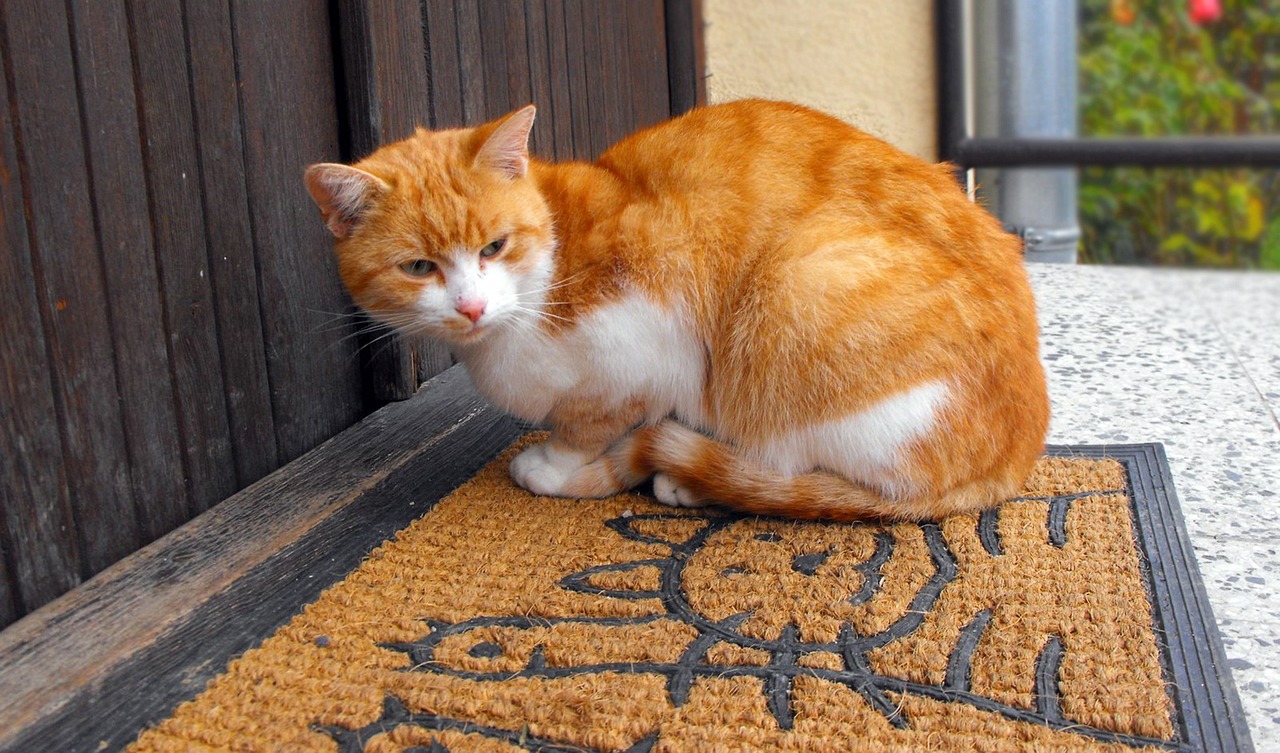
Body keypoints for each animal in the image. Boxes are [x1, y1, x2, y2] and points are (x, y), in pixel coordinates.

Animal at [307, 99, 1049, 519]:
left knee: (797, 466)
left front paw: (559, 462)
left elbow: (593, 418)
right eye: (419, 267)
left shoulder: (654, 334)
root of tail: (1017, 454)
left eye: (495, 246)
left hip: (793, 294)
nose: (468, 306)